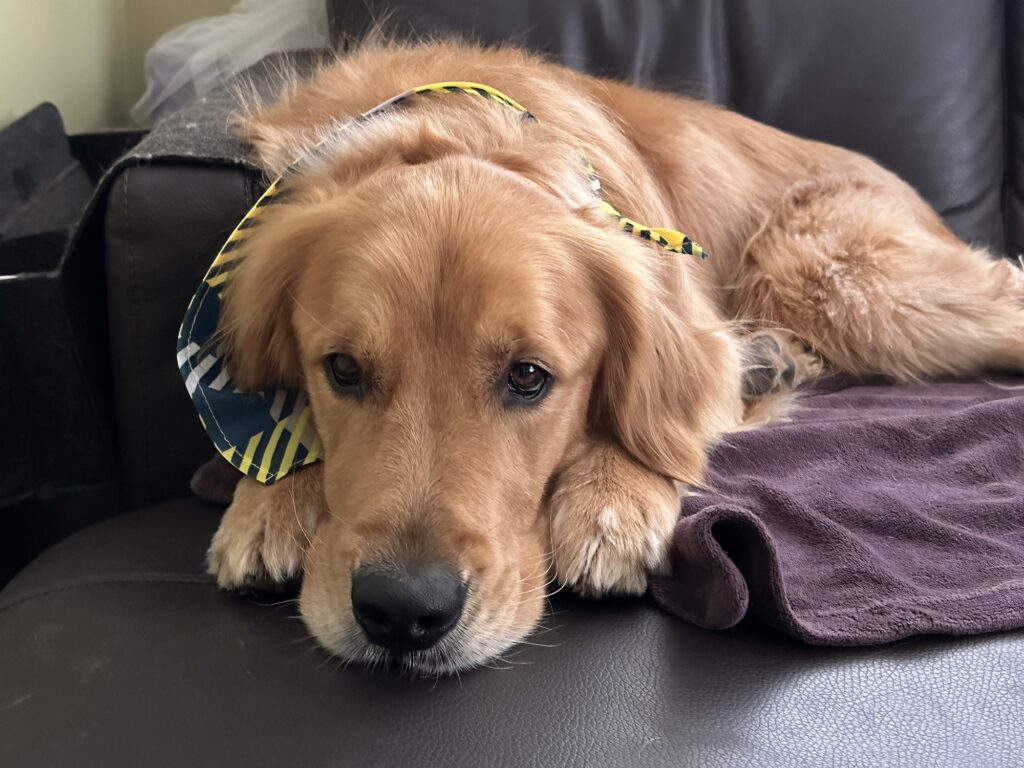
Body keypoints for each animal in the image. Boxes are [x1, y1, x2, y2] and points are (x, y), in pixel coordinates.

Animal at [205, 39, 1024, 671]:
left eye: (529, 377)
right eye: (342, 370)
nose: (403, 612)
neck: (458, 126)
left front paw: (612, 496)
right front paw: (271, 501)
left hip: (836, 280)